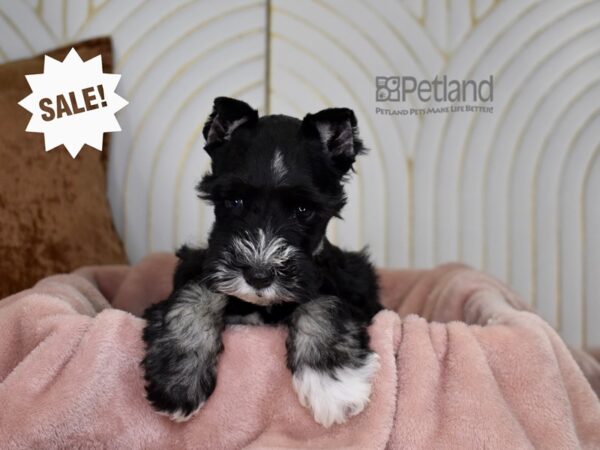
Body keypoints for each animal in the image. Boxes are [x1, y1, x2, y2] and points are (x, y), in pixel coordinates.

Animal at [143, 96, 382, 428]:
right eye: (234, 201)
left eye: (304, 210)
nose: (258, 275)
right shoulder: (197, 266)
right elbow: (194, 294)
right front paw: (176, 380)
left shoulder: (348, 288)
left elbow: (325, 303)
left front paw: (332, 383)